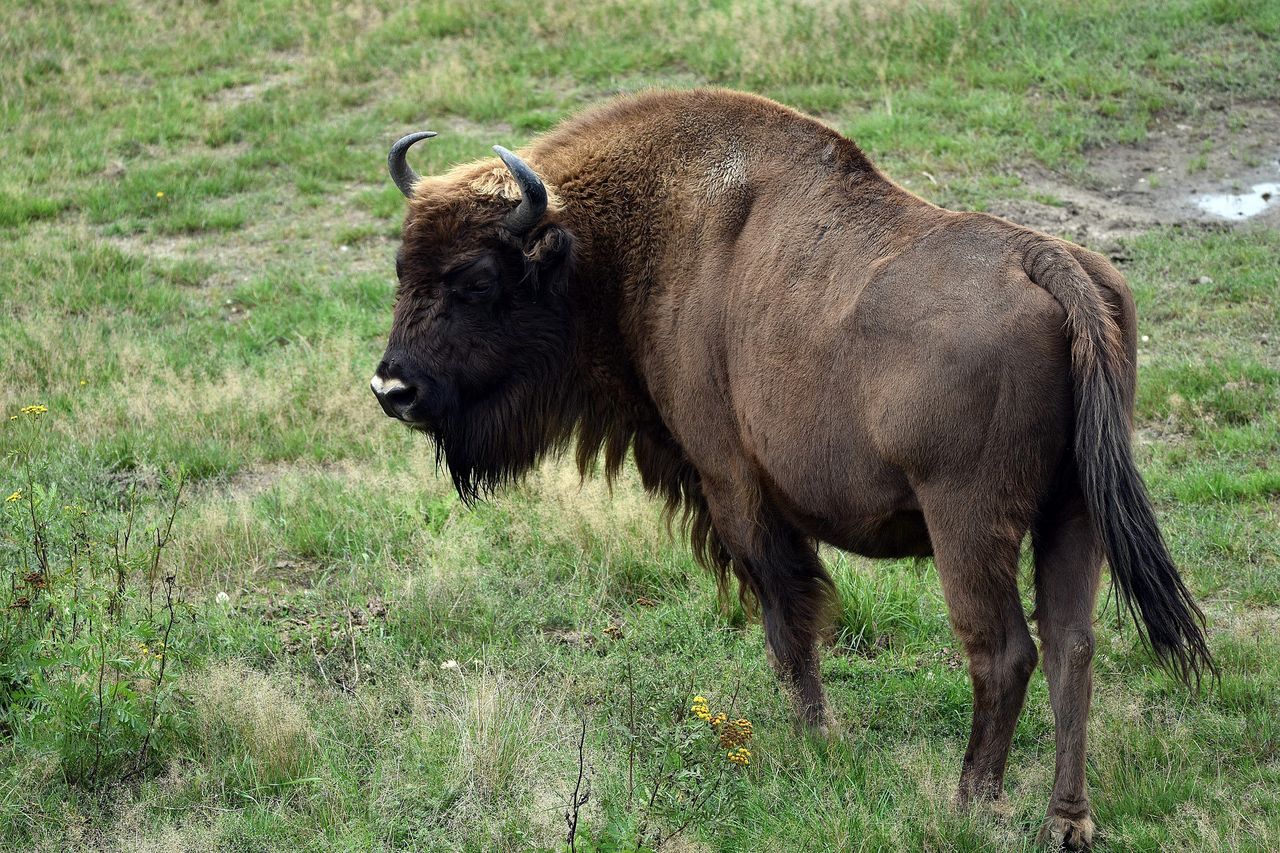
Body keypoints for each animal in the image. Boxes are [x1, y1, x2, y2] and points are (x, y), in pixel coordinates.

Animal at [371, 86, 1208, 845]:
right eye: (402, 267)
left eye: (475, 278)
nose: (392, 388)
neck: (626, 238)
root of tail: (1050, 260)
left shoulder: (732, 482)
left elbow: (786, 615)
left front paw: (816, 739)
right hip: (1075, 511)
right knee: (1072, 645)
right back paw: (1066, 820)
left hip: (968, 521)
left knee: (1003, 650)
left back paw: (970, 800)